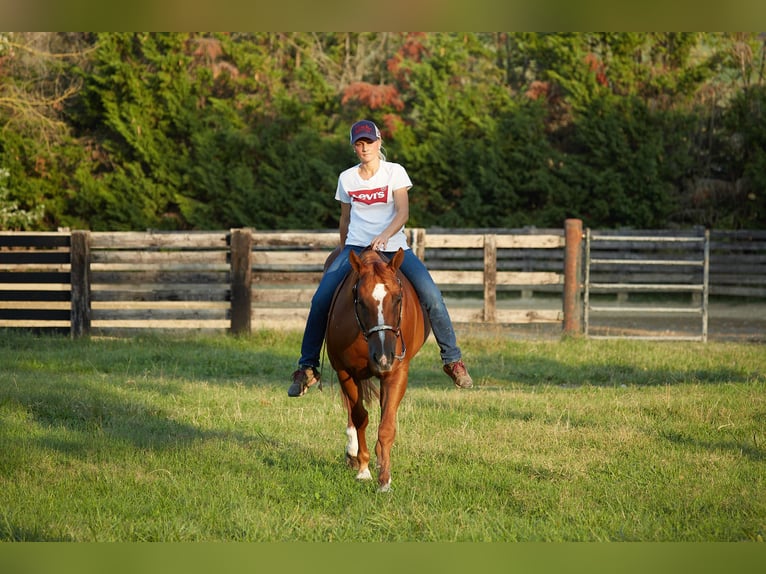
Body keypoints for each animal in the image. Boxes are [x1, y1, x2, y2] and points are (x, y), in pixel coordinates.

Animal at [324, 246, 430, 492]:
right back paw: (353, 452)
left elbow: (387, 425)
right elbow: (360, 417)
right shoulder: (345, 372)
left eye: (398, 299)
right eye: (361, 302)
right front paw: (364, 469)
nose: (383, 356)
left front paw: (385, 478)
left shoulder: (396, 373)